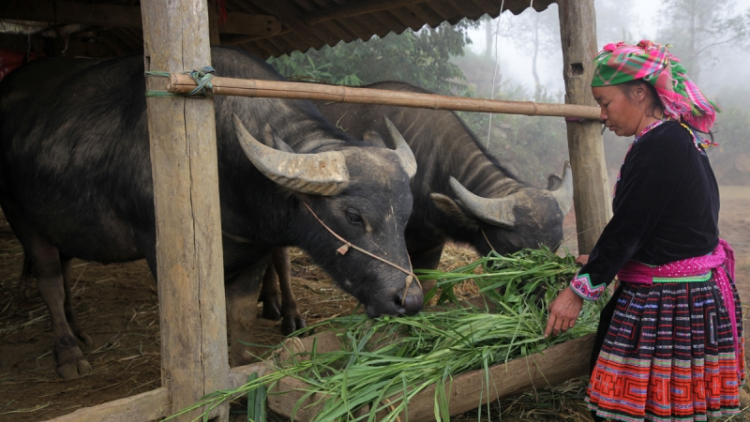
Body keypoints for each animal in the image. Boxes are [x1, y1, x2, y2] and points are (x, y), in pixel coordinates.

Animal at [0, 48, 424, 380]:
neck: (231, 167)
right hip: (22, 219)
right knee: (50, 282)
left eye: (406, 217)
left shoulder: (255, 250)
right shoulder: (163, 251)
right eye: (352, 215)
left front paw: (243, 368)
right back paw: (69, 352)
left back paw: (79, 332)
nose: (409, 301)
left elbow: (241, 316)